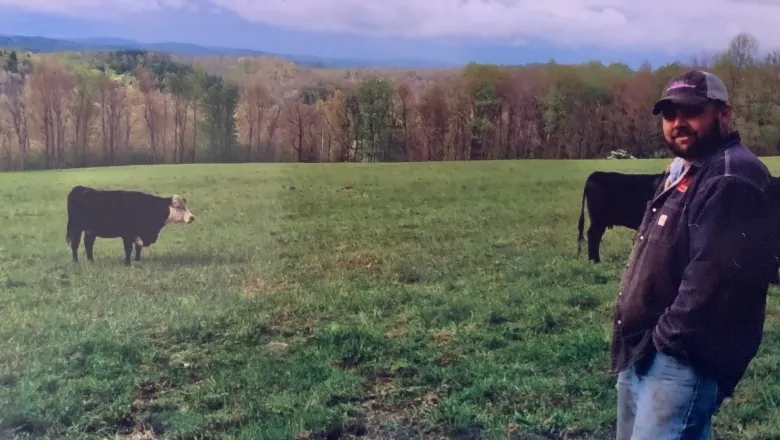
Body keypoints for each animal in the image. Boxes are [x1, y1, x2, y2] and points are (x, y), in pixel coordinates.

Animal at [65, 186, 197, 264]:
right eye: (178, 207)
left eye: (185, 206)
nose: (192, 217)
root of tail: (79, 188)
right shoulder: (127, 234)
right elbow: (129, 249)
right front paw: (128, 263)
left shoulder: (137, 234)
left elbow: (138, 247)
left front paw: (137, 261)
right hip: (76, 228)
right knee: (75, 244)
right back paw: (76, 261)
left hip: (90, 231)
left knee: (88, 244)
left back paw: (91, 260)